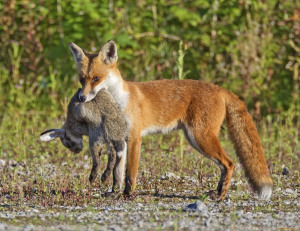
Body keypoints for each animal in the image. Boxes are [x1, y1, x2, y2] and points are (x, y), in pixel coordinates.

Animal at [68, 40, 274, 199]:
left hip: (200, 138)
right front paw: (115, 193)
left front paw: (127, 195)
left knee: (230, 163)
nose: (81, 98)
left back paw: (220, 196)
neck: (118, 101)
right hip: (195, 139)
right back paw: (216, 192)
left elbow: (130, 174)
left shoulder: (135, 138)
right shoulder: (120, 140)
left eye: (96, 78)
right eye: (81, 80)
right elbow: (117, 174)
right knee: (225, 166)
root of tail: (219, 88)